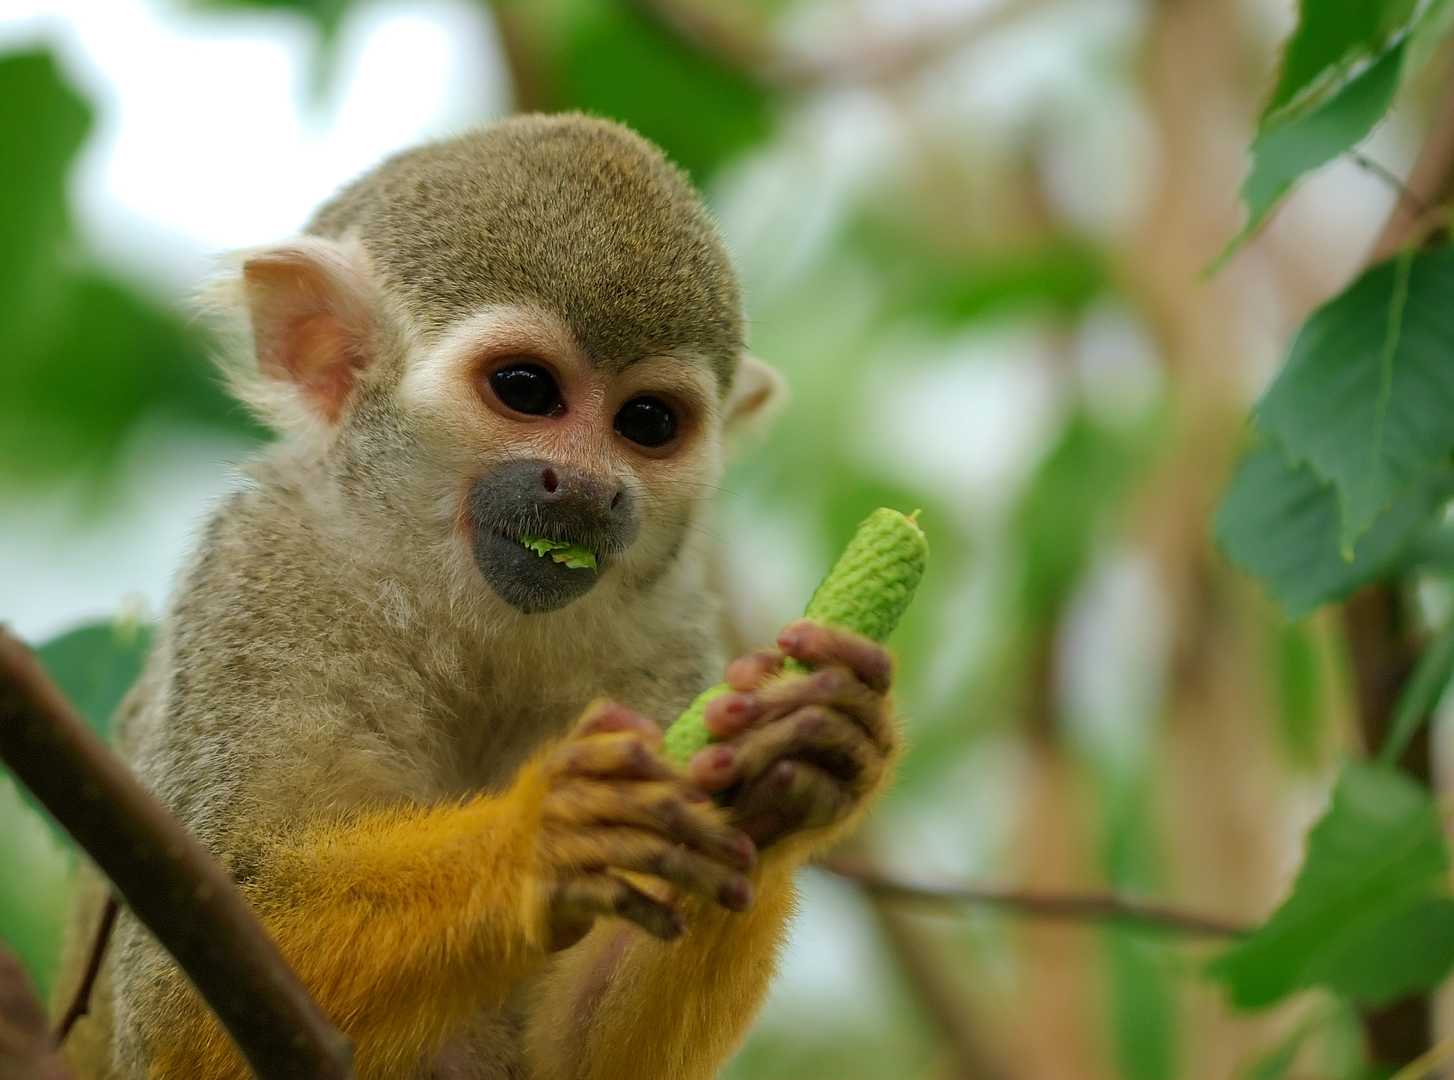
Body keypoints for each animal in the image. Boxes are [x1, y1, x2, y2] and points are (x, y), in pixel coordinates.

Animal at [54, 112, 901, 1080]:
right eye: (525, 390)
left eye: (647, 423)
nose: (588, 490)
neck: (455, 605)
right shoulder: (258, 575)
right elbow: (183, 1008)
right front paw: (541, 839)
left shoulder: (666, 639)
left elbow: (577, 1056)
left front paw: (791, 766)